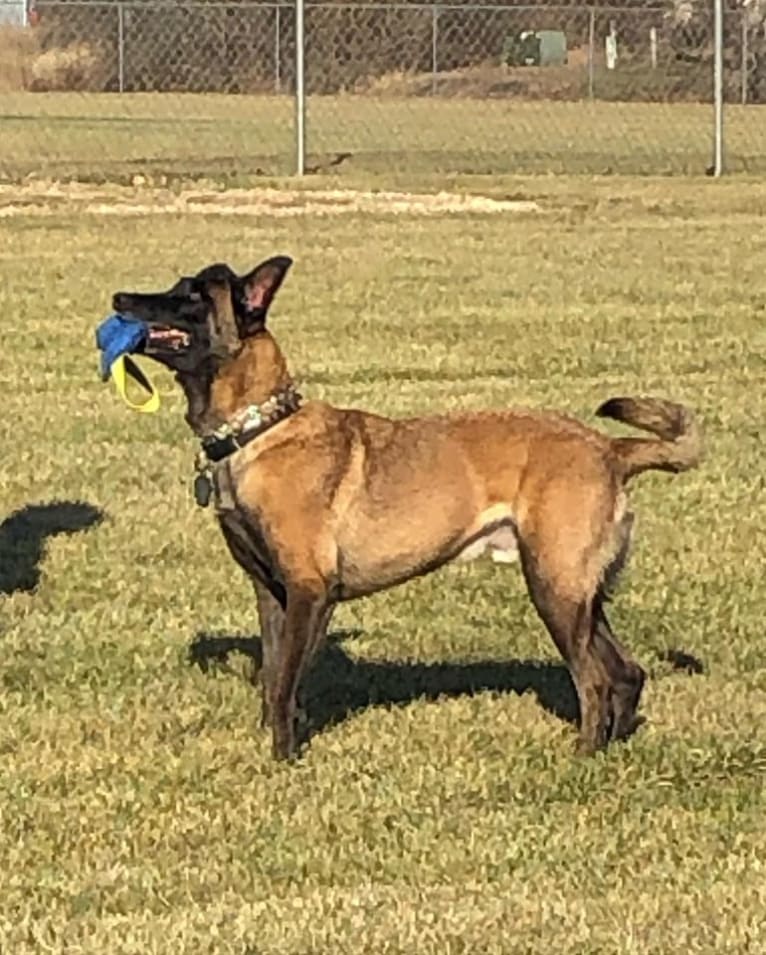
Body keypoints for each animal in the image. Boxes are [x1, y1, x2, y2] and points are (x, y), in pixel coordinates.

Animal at [111, 254, 704, 760]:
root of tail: (611, 448)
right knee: (627, 673)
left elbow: (283, 683)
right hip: (579, 593)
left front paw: (283, 758)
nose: (119, 297)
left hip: (554, 589)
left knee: (596, 681)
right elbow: (273, 676)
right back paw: (614, 746)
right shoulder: (271, 593)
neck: (259, 428)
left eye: (191, 295)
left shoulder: (309, 593)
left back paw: (582, 756)